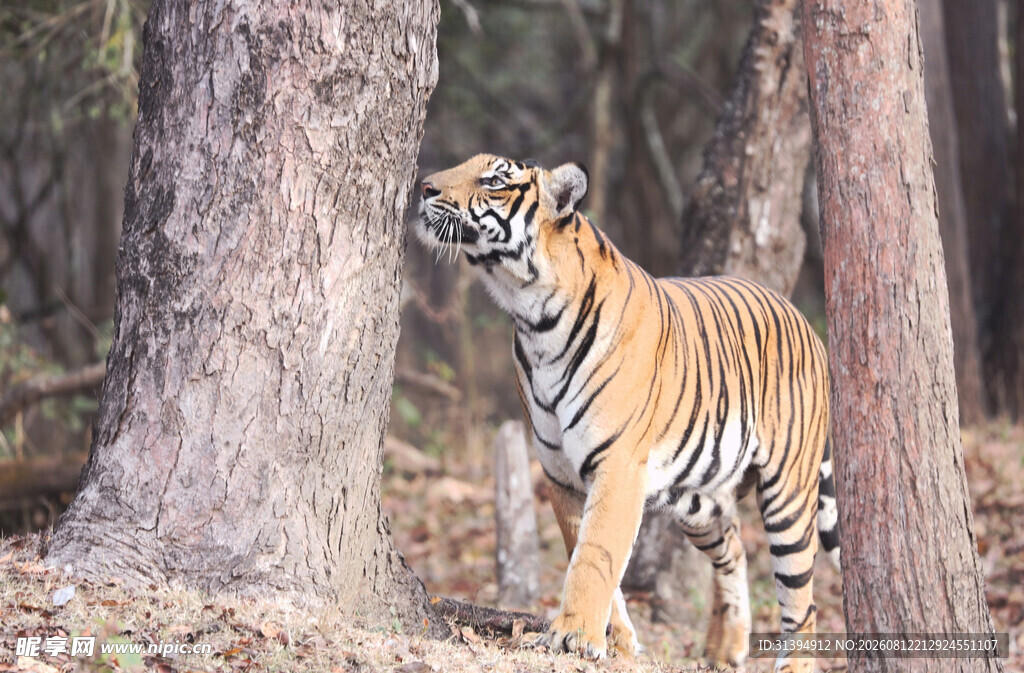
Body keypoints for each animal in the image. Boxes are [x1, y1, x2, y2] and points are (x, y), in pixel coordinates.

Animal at [413, 153, 840, 671]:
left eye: (494, 180)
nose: (424, 187)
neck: (532, 318)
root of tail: (803, 320)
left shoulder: (616, 465)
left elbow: (596, 553)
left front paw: (573, 635)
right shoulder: (560, 471)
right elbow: (583, 548)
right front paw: (614, 642)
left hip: (788, 493)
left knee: (801, 597)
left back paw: (790, 660)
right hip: (697, 500)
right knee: (736, 544)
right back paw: (727, 646)